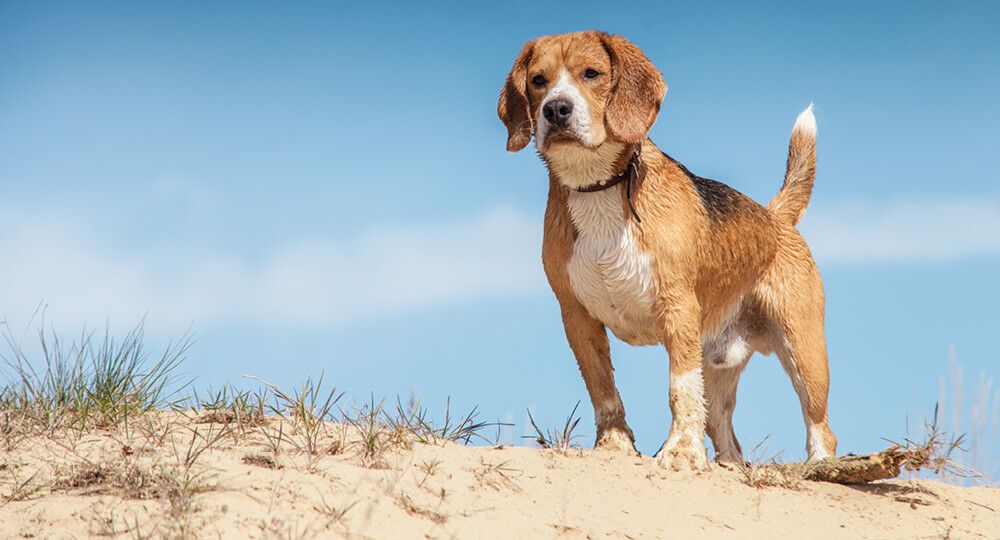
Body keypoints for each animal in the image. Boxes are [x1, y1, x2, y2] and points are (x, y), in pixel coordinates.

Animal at [498, 31, 836, 468]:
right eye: (538, 81)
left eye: (591, 74)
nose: (556, 109)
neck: (597, 187)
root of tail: (775, 216)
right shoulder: (576, 316)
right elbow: (602, 388)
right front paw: (615, 445)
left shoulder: (678, 308)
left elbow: (680, 389)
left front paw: (680, 451)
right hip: (718, 363)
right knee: (723, 428)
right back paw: (727, 465)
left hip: (804, 351)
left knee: (821, 428)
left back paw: (822, 466)